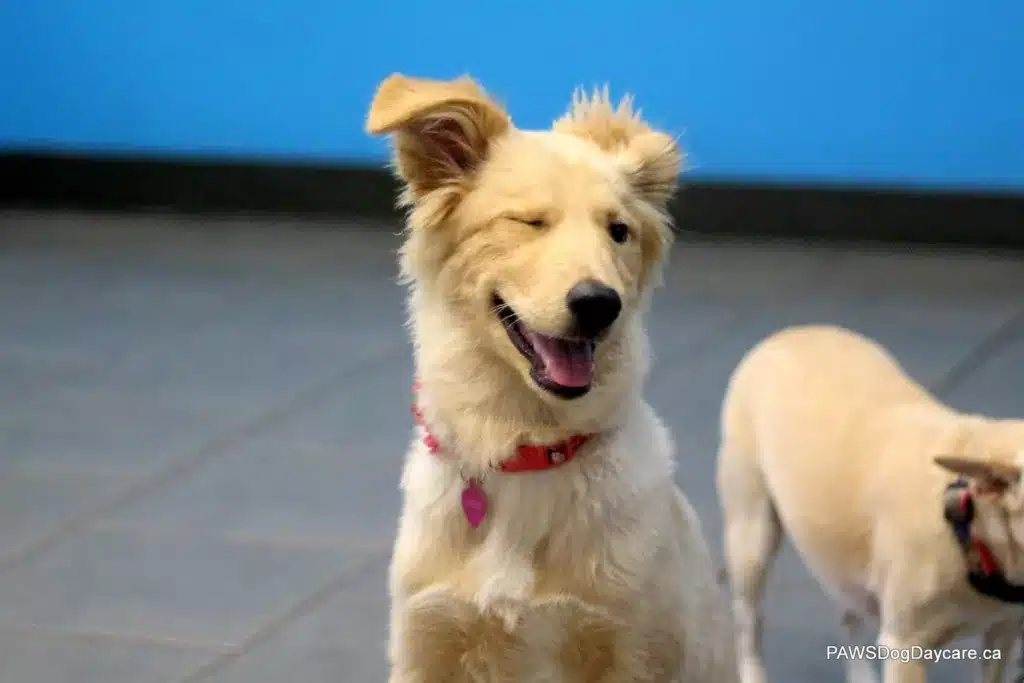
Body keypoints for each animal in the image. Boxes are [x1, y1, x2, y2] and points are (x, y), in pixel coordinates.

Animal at [366, 74, 737, 683]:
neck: (525, 447)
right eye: (529, 222)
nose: (600, 304)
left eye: (618, 231)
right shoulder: (427, 639)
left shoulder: (631, 645)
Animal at [716, 325, 1024, 683]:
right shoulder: (906, 648)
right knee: (749, 620)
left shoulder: (1002, 631)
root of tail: (789, 332)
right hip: (751, 536)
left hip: (840, 555)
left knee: (849, 612)